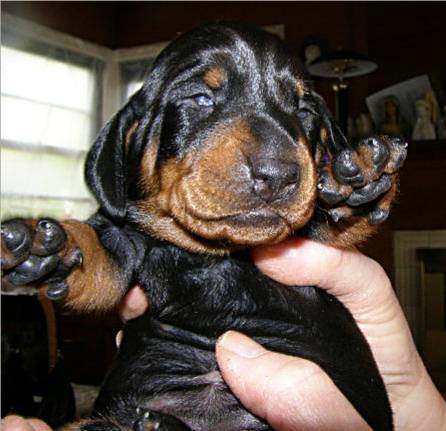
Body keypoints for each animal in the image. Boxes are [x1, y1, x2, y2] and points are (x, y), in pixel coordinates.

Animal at [1, 23, 408, 431]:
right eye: (199, 98)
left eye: (304, 110)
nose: (277, 175)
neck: (214, 254)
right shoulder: (124, 241)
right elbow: (99, 253)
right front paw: (45, 249)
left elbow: (326, 224)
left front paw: (355, 180)